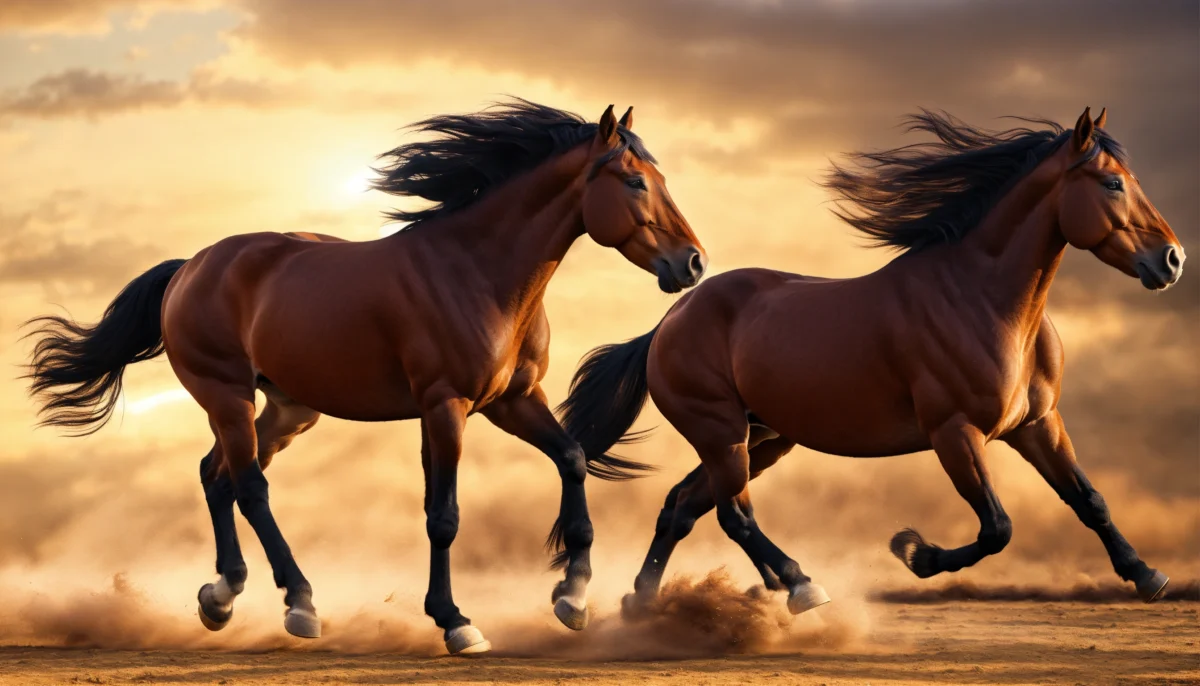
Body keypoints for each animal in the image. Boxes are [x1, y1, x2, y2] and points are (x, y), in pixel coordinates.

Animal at [25, 100, 707, 654]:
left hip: (288, 409)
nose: (693, 263)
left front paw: (573, 597)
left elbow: (572, 459)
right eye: (633, 181)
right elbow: (444, 515)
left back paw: (220, 598)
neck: (478, 272)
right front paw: (456, 622)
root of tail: (191, 266)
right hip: (227, 396)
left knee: (215, 477)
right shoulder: (445, 406)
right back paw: (299, 604)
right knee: (249, 488)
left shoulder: (512, 400)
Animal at [557, 107, 1184, 617]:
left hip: (763, 440)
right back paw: (799, 586)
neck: (984, 301)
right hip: (721, 434)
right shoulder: (956, 433)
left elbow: (1088, 500)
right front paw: (916, 553)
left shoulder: (1037, 425)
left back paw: (642, 602)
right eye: (1112, 183)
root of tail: (672, 317)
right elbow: (998, 528)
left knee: (682, 507)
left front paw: (1147, 575)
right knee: (732, 515)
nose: (1172, 259)